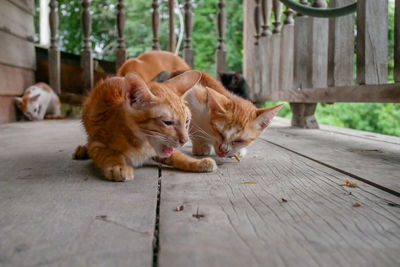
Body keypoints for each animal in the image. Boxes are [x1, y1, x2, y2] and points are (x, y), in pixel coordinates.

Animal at [73, 70, 217, 182]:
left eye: (187, 121)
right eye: (167, 122)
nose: (185, 140)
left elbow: (178, 155)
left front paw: (197, 162)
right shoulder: (97, 143)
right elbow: (108, 153)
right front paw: (118, 166)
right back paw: (82, 149)